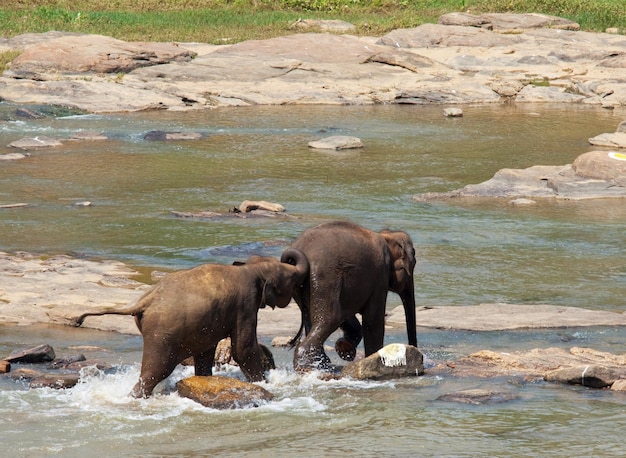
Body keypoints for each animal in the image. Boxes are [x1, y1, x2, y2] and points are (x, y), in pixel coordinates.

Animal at [70, 250, 308, 398]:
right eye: (292, 280)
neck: (251, 269)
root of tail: (143, 302)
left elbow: (205, 352)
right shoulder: (246, 305)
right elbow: (243, 349)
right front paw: (263, 383)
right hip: (161, 335)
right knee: (156, 371)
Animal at [280, 219, 416, 372]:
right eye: (413, 263)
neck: (387, 236)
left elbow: (349, 315)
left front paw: (344, 350)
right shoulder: (381, 275)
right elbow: (373, 321)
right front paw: (371, 358)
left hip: (302, 286)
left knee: (314, 317)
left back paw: (322, 363)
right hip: (324, 277)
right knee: (331, 317)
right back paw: (310, 366)